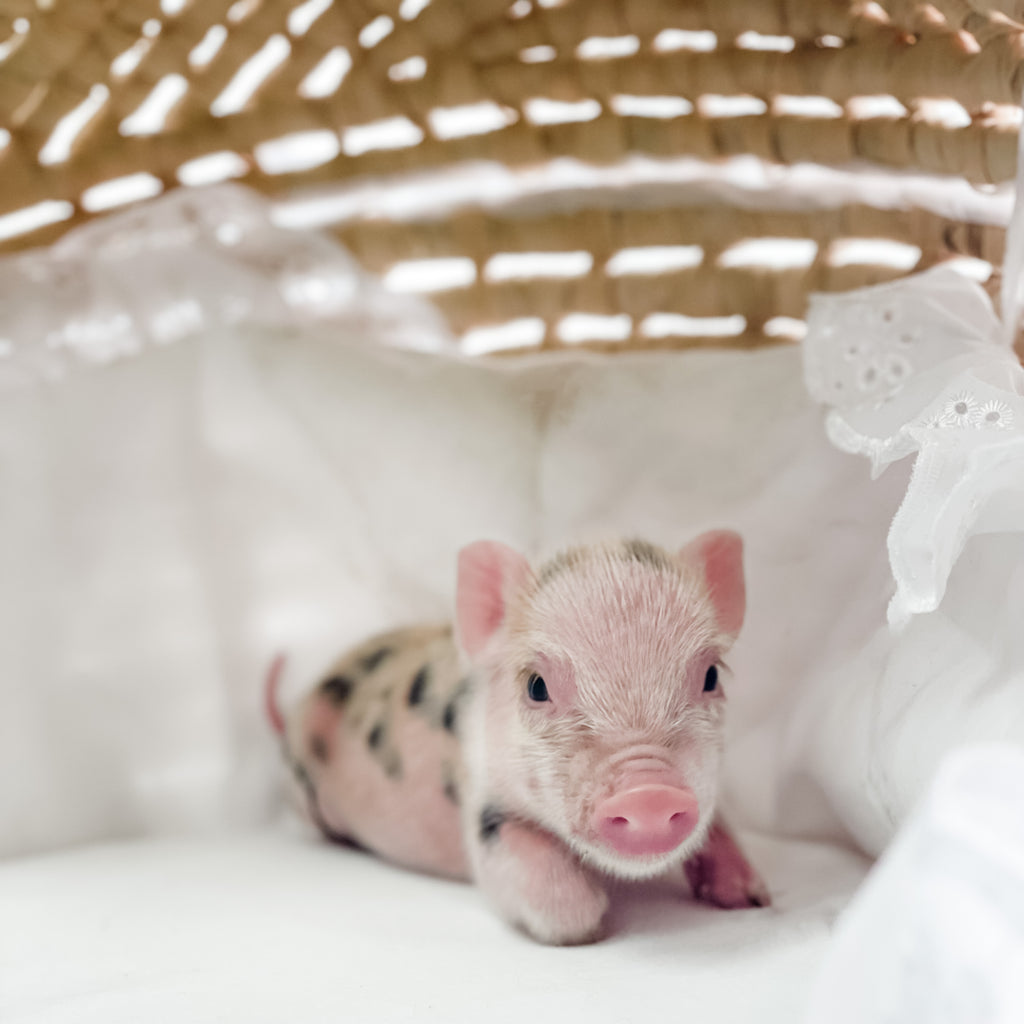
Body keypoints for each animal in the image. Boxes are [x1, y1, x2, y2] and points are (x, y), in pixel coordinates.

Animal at [270, 532, 768, 944]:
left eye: (710, 676)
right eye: (536, 686)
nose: (649, 794)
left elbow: (716, 826)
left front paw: (753, 898)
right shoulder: (483, 809)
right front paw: (591, 927)